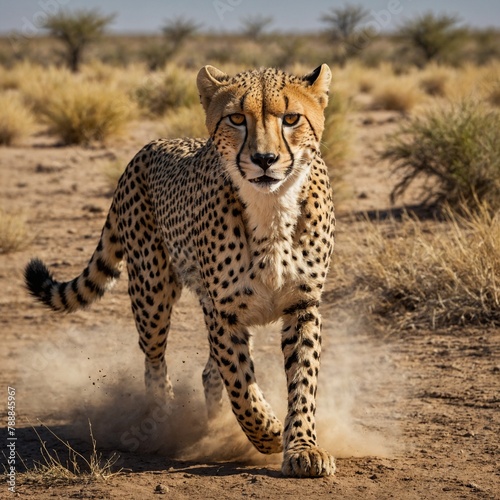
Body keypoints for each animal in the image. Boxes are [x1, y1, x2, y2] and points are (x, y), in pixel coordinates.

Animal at [23, 64, 336, 478]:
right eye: (237, 119)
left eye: (291, 119)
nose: (265, 158)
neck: (270, 207)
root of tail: (149, 147)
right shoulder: (224, 312)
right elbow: (240, 384)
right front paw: (268, 432)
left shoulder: (302, 306)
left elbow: (302, 381)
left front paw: (302, 446)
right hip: (152, 291)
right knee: (155, 361)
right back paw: (164, 418)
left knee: (208, 373)